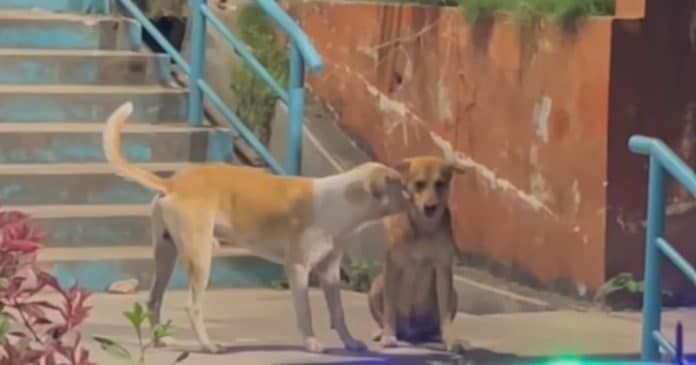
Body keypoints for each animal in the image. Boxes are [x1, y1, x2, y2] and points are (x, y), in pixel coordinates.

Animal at [100, 102, 410, 352]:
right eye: (404, 188)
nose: (419, 201)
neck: (342, 201)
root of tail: (173, 183)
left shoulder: (330, 272)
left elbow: (339, 313)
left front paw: (350, 342)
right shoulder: (298, 269)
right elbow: (306, 312)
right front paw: (311, 343)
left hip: (166, 252)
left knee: (153, 299)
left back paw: (159, 341)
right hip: (200, 256)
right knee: (192, 306)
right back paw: (209, 346)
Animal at [370, 132, 468, 352]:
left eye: (440, 183)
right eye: (419, 184)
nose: (430, 207)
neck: (424, 229)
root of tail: (412, 332)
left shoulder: (443, 268)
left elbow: (445, 313)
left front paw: (449, 339)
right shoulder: (393, 265)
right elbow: (389, 307)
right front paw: (388, 335)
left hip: (455, 293)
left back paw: (436, 336)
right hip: (375, 286)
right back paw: (382, 332)